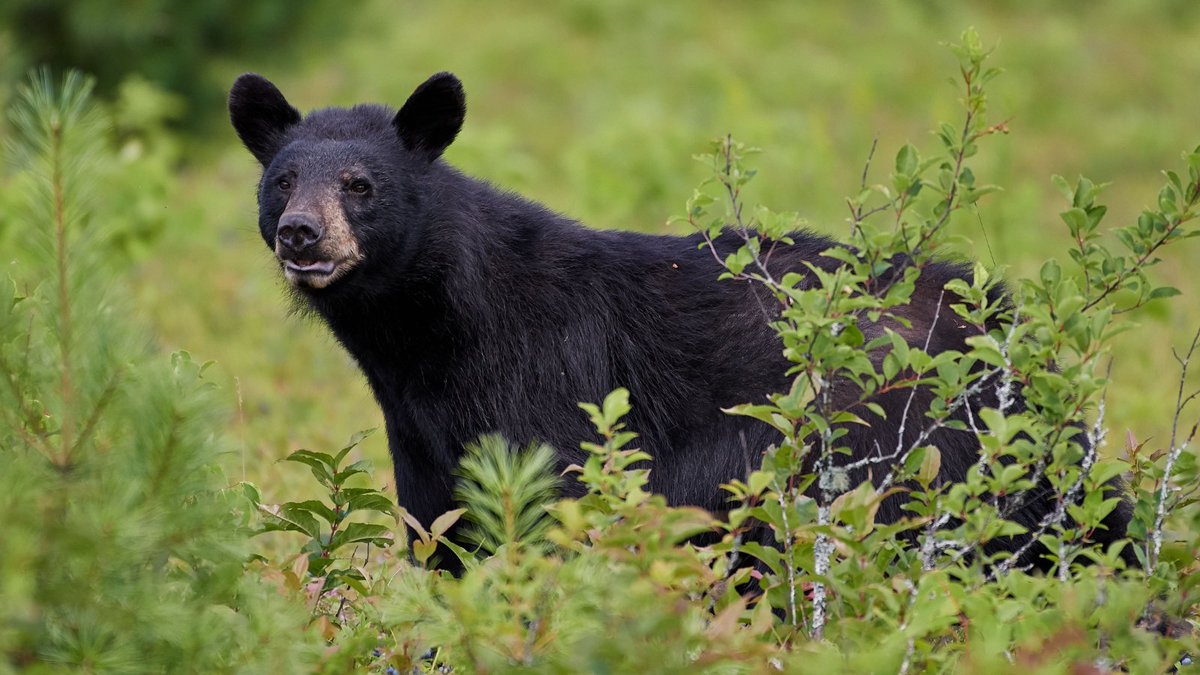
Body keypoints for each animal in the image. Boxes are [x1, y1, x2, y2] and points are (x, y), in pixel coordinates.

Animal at [228, 71, 1135, 572]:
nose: (300, 233)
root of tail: (1006, 328)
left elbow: (549, 521)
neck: (427, 336)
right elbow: (447, 539)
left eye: (360, 184)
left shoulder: (544, 386)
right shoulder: (426, 441)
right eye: (282, 179)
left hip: (907, 450)